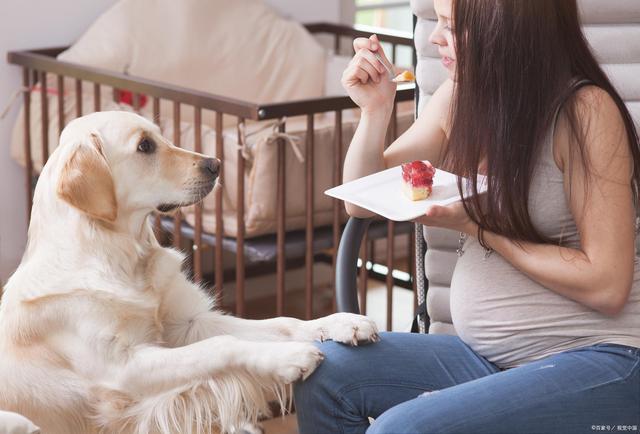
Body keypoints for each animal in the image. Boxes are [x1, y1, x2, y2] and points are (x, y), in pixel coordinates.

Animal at [0, 110, 380, 432]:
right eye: (145, 146)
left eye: (160, 136)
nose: (216, 164)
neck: (120, 257)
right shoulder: (121, 370)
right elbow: (220, 347)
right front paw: (289, 356)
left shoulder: (187, 324)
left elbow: (282, 323)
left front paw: (341, 322)